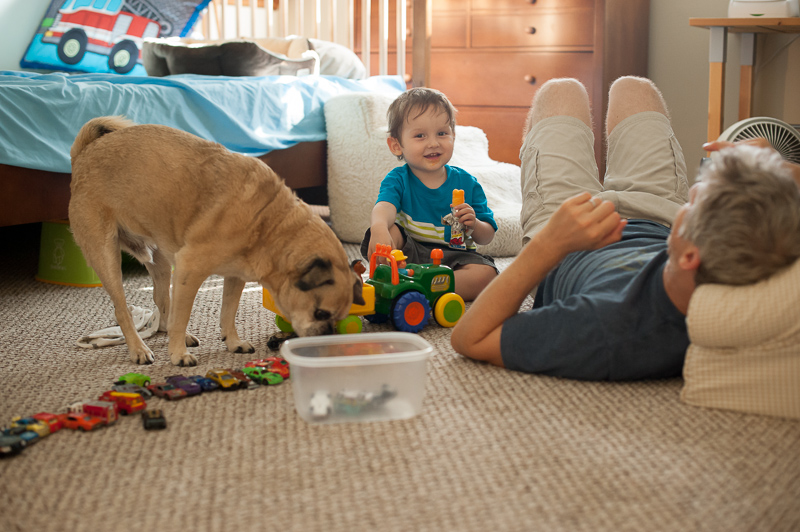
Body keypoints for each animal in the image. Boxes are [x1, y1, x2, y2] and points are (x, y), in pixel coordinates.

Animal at [69, 116, 362, 366]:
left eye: (339, 318)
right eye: (321, 314)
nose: (328, 337)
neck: (268, 224)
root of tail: (83, 155)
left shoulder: (235, 277)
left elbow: (228, 311)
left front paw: (232, 342)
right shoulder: (189, 271)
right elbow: (183, 315)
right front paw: (177, 355)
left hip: (159, 261)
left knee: (162, 301)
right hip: (107, 256)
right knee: (124, 311)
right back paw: (139, 348)